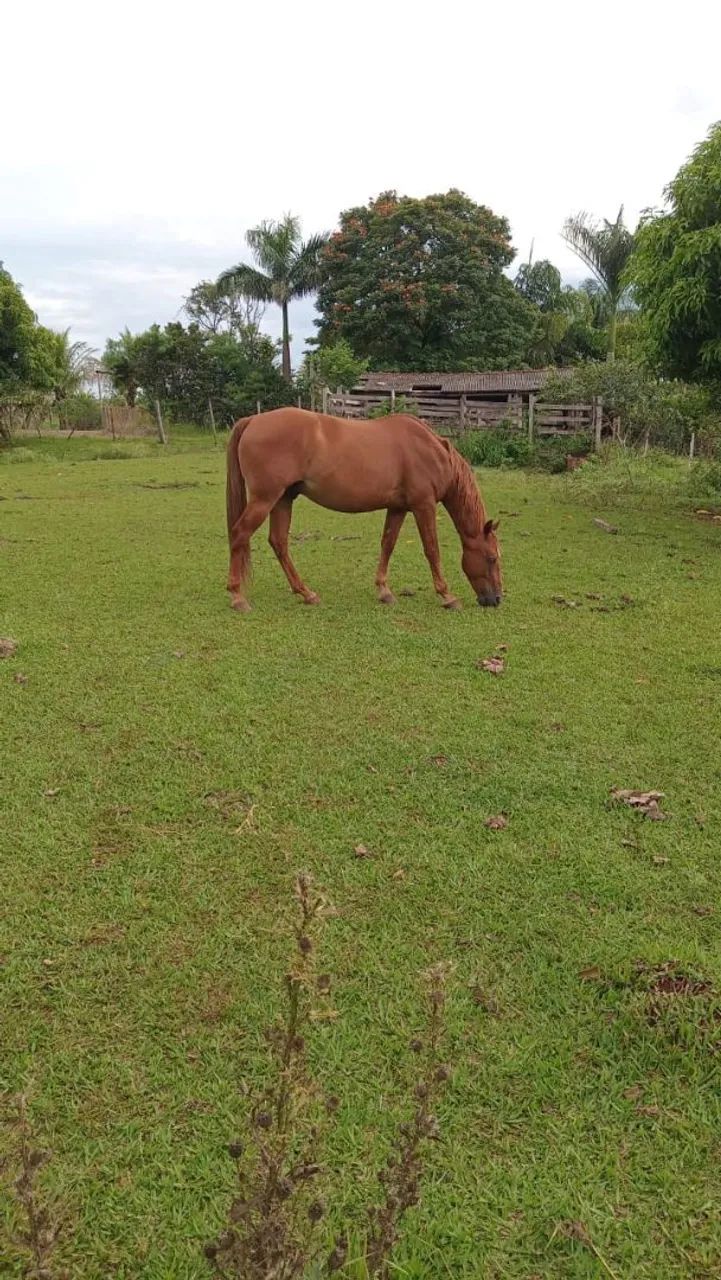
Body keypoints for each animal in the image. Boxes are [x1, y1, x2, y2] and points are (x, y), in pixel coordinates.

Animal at [225, 407, 502, 612]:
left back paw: (307, 593)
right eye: (491, 558)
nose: (496, 599)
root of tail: (253, 420)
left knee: (279, 542)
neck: (431, 451)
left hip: (283, 499)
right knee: (240, 534)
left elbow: (388, 544)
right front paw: (447, 596)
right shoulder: (423, 505)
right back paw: (238, 598)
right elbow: (432, 550)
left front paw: (384, 591)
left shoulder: (398, 508)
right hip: (265, 499)